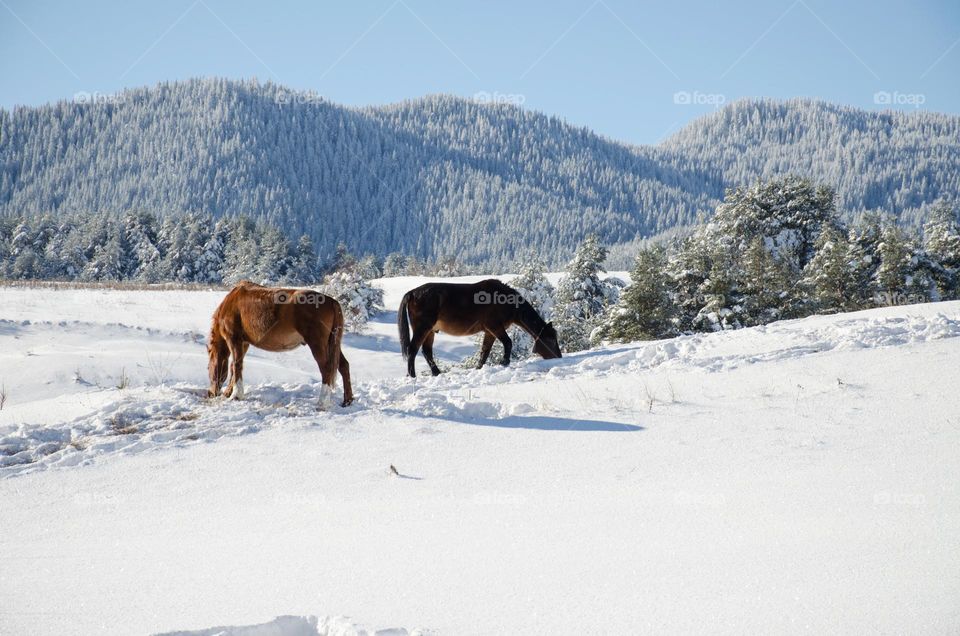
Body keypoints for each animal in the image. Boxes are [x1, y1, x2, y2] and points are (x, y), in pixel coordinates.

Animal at [206, 280, 352, 408]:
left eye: (208, 368)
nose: (211, 393)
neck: (231, 302)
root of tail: (332, 301)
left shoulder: (234, 339)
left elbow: (236, 365)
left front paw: (236, 395)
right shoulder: (244, 343)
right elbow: (234, 366)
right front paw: (229, 392)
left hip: (318, 344)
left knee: (326, 369)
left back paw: (322, 403)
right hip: (331, 344)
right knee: (343, 366)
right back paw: (347, 401)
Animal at [398, 280, 564, 378]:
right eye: (550, 338)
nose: (558, 357)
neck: (505, 300)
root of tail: (412, 293)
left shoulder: (489, 332)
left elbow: (485, 352)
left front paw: (478, 368)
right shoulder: (495, 327)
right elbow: (508, 343)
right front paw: (504, 362)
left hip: (430, 331)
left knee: (427, 351)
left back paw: (437, 373)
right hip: (423, 328)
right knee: (412, 350)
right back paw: (412, 376)